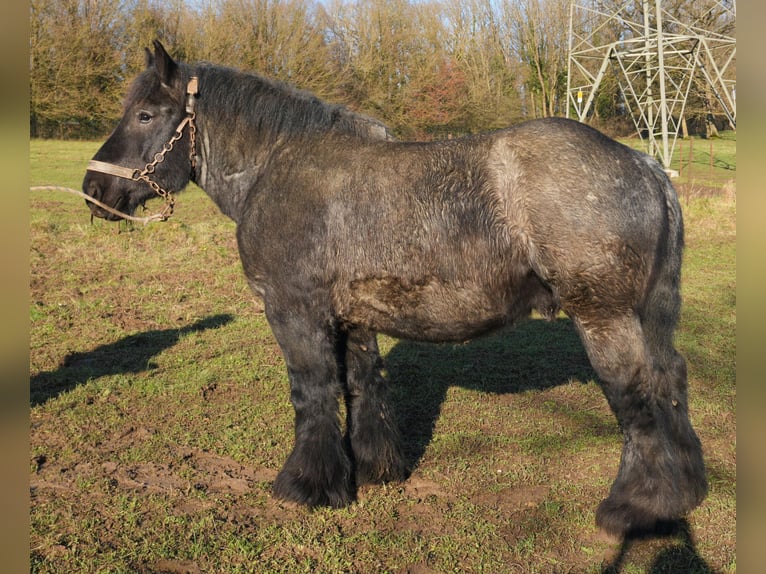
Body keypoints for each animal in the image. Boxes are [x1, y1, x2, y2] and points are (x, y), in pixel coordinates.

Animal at [82, 41, 708, 540]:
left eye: (145, 114)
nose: (93, 189)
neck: (276, 165)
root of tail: (646, 163)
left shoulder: (295, 312)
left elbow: (312, 392)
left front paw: (307, 486)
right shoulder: (353, 316)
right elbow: (361, 385)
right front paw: (375, 471)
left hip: (603, 317)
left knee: (638, 397)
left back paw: (635, 508)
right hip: (647, 316)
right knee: (671, 380)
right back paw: (685, 491)